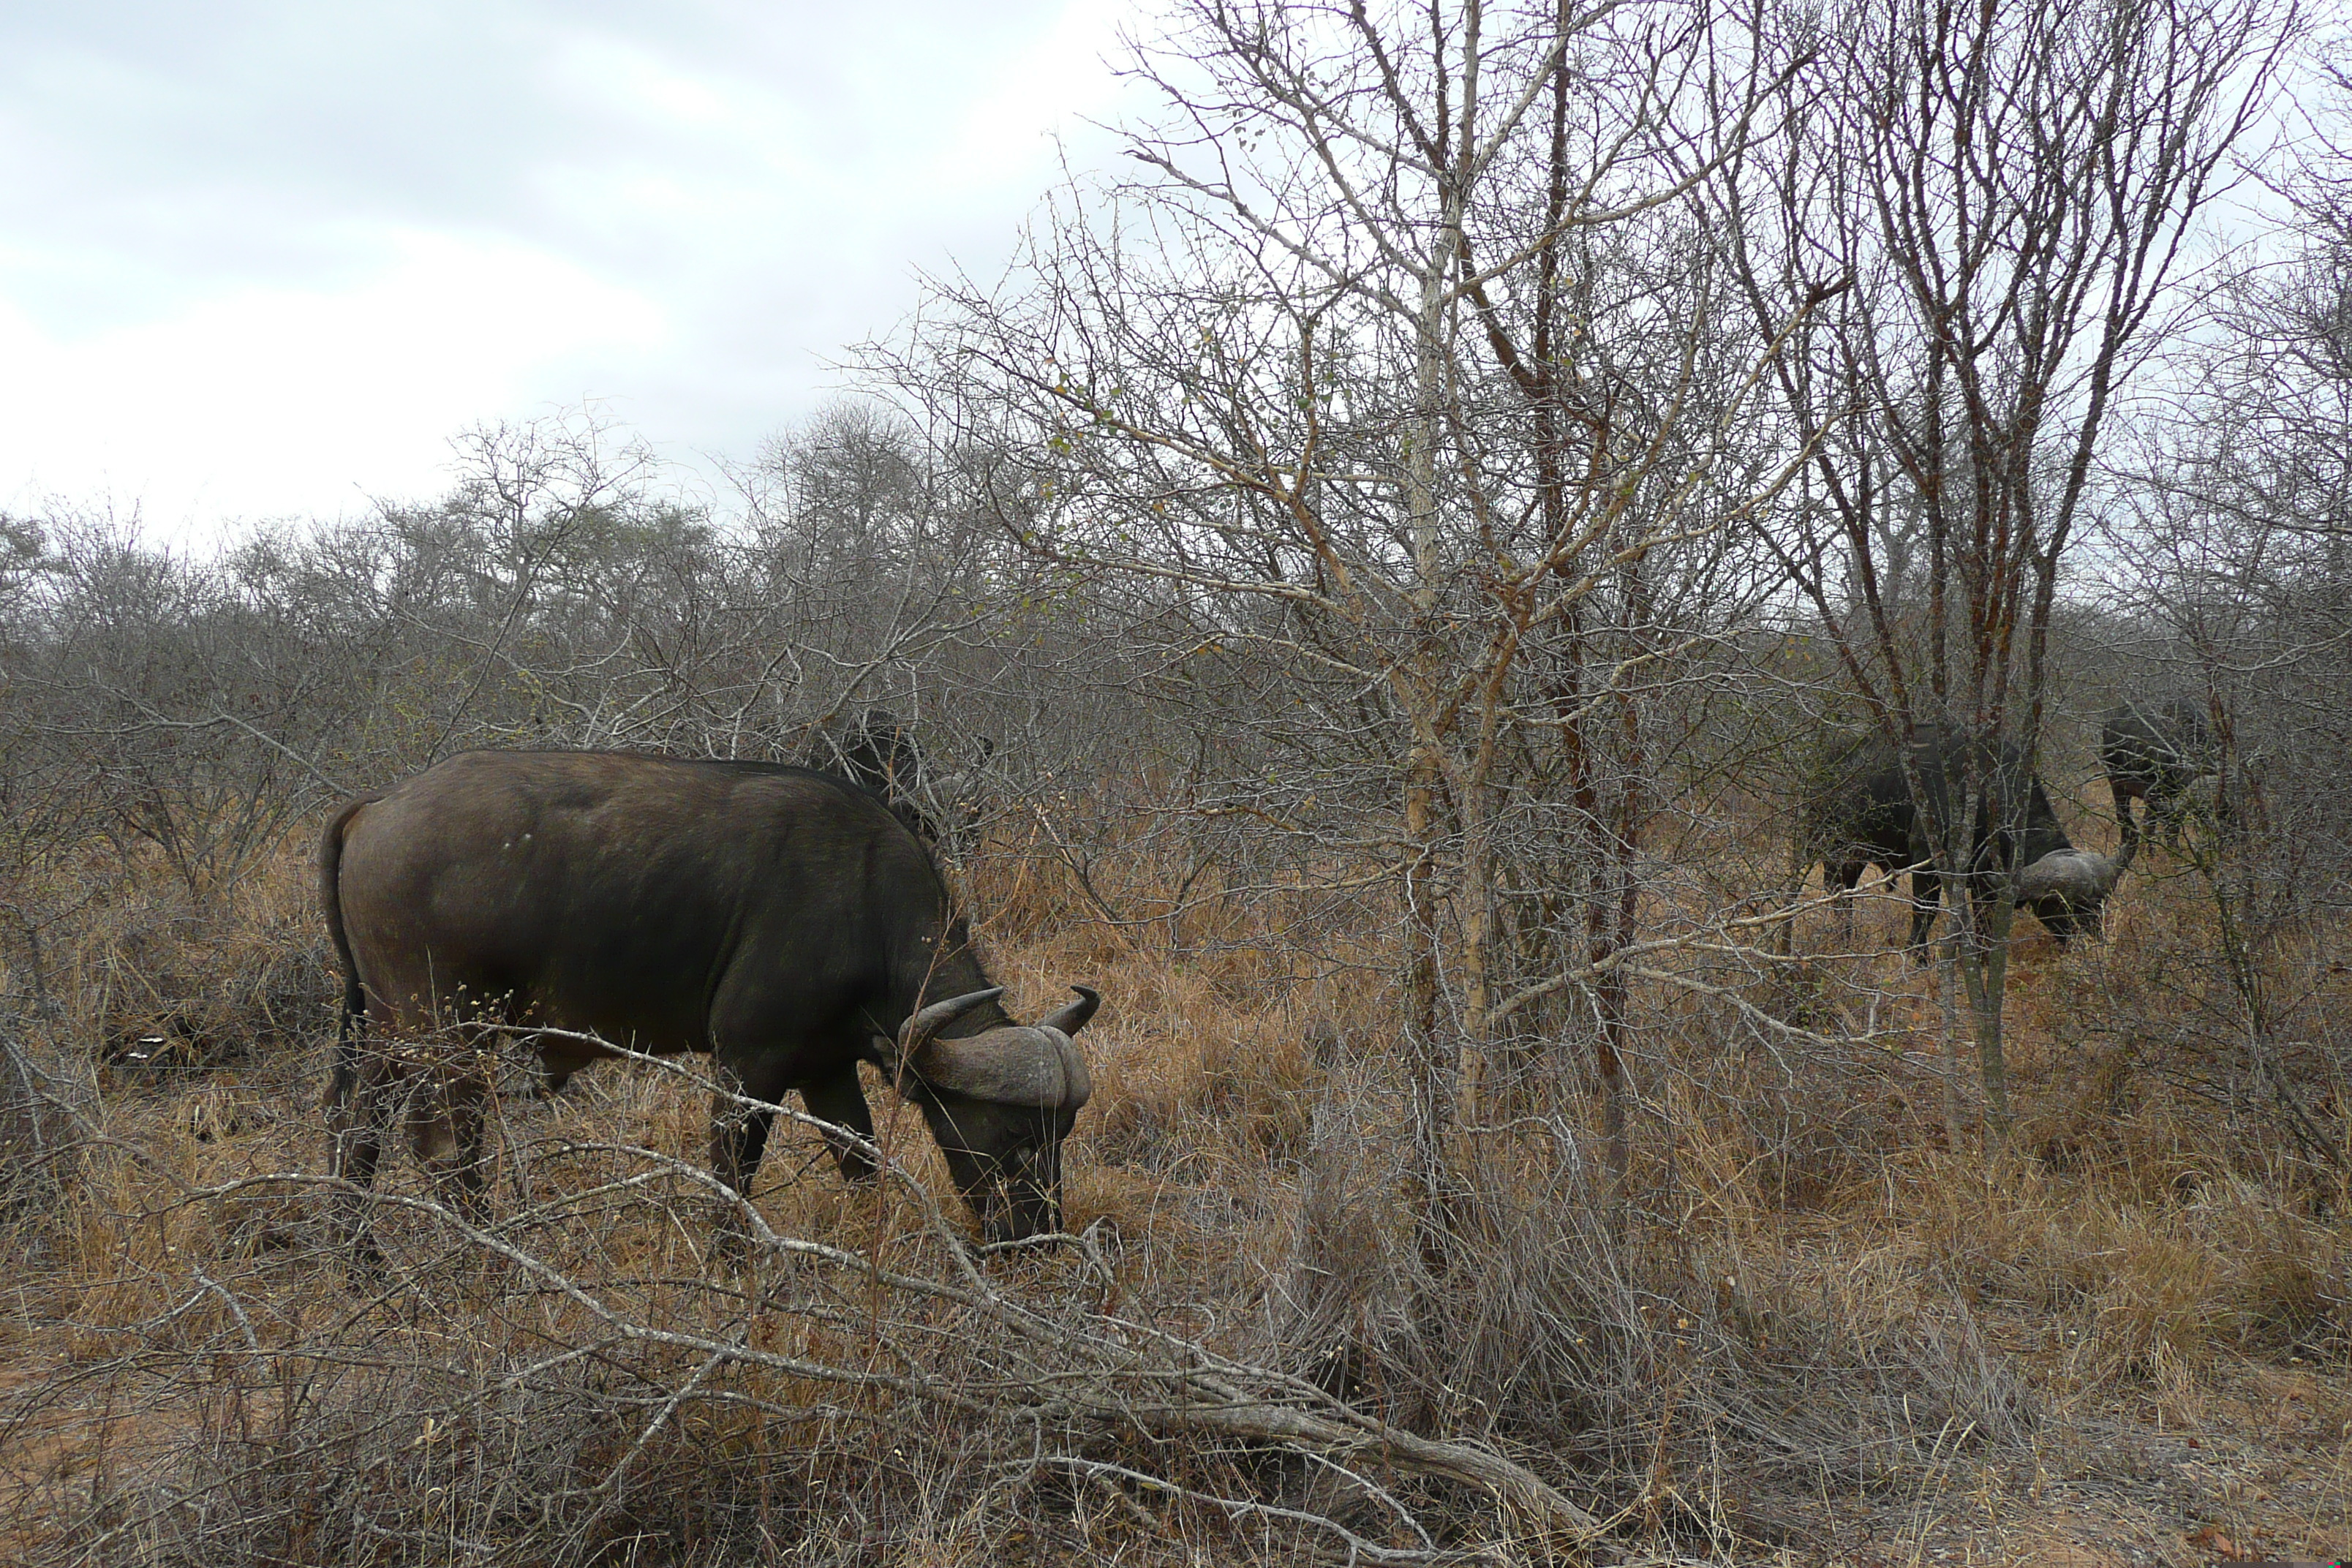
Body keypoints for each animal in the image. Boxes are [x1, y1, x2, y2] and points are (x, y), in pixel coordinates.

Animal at [1787, 728, 2126, 959]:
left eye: (2099, 906)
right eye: (2064, 907)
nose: (2095, 945)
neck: (1985, 792)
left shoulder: (1987, 881)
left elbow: (1985, 922)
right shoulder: (1927, 861)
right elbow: (1925, 911)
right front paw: (1918, 956)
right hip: (1832, 849)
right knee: (1837, 895)